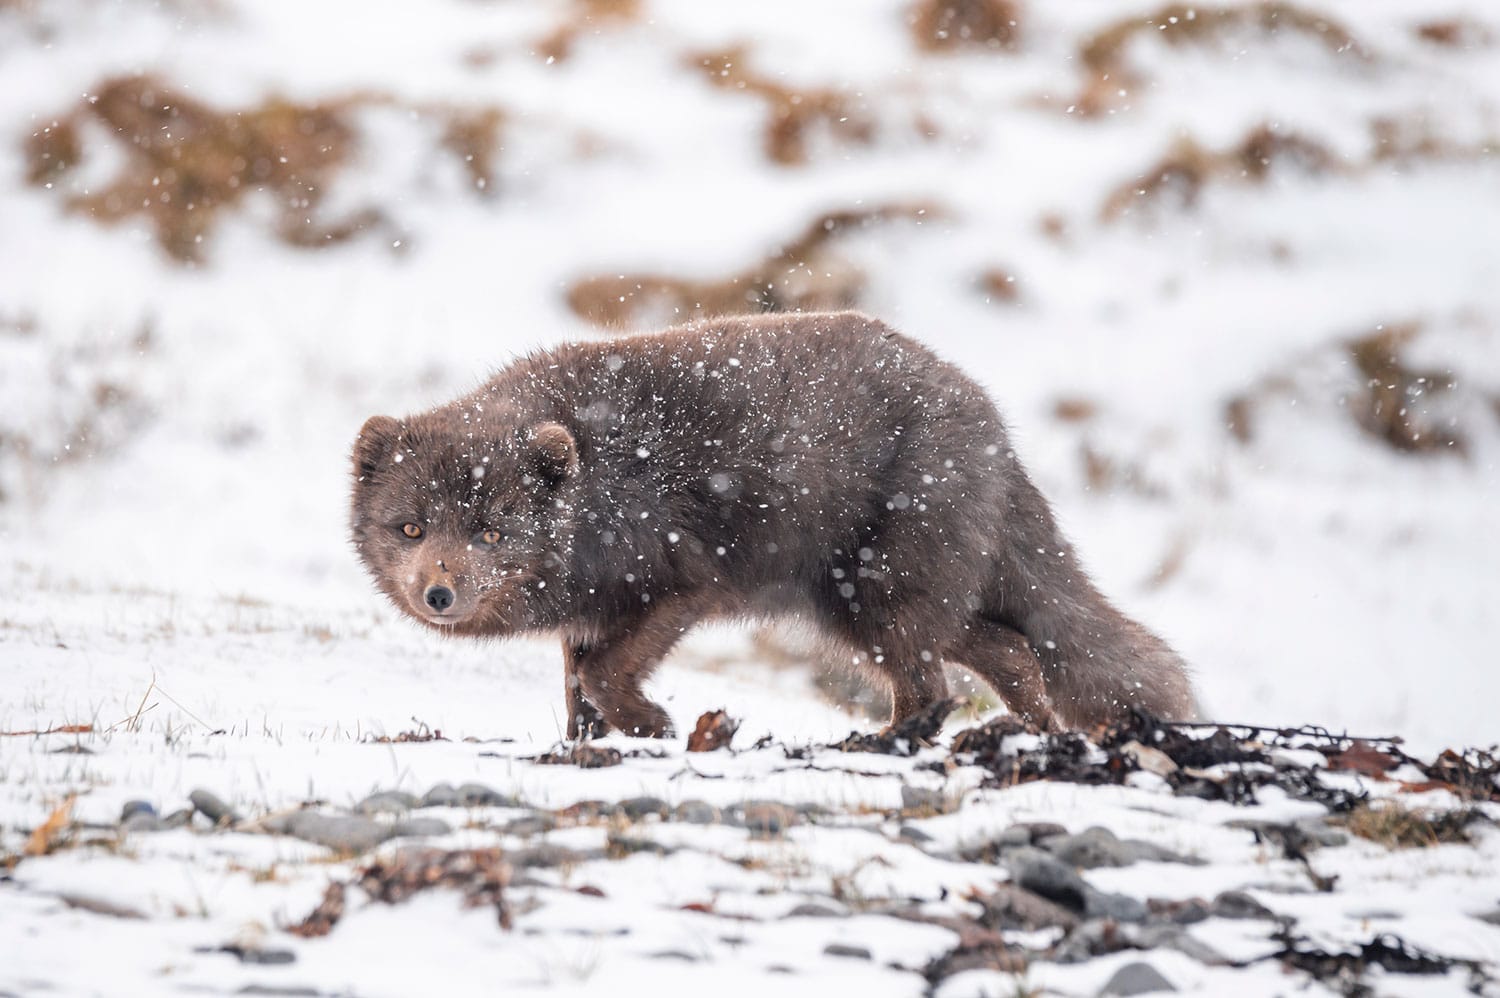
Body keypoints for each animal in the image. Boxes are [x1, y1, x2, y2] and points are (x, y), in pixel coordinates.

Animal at [348, 313, 1194, 738]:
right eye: (412, 529)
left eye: (492, 532)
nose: (438, 595)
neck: (597, 486)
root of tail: (994, 428)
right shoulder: (589, 613)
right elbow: (575, 689)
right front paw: (589, 748)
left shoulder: (681, 584)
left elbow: (603, 675)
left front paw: (651, 723)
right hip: (862, 608)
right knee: (1009, 652)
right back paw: (1038, 732)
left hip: (879, 596)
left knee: (932, 684)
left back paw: (894, 743)